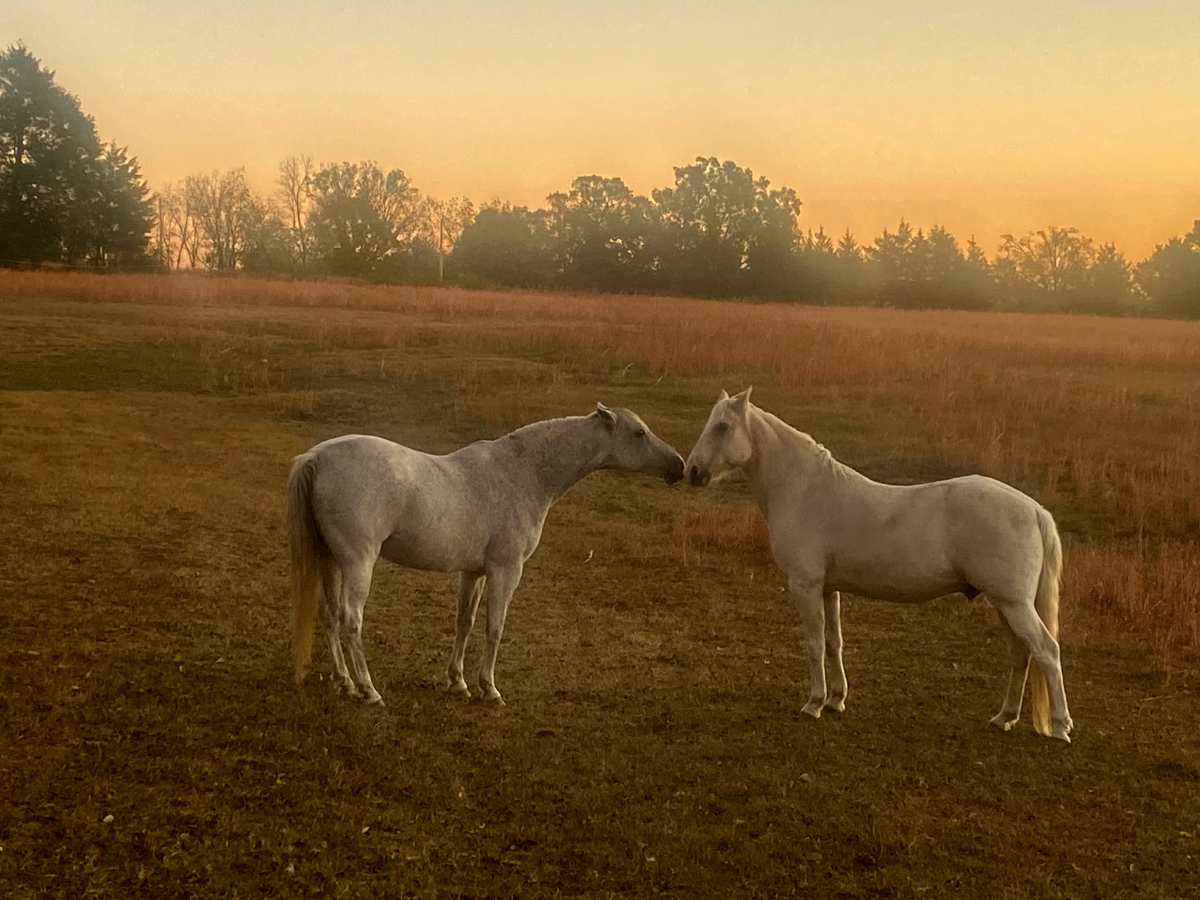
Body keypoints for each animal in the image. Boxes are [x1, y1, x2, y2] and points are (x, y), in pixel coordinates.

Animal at [287, 403, 685, 705]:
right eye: (639, 433)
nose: (679, 466)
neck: (523, 474)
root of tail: (316, 457)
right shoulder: (506, 570)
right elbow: (495, 626)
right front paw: (489, 689)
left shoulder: (474, 572)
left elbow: (464, 622)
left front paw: (458, 682)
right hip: (358, 563)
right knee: (351, 620)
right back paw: (369, 691)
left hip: (331, 561)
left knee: (330, 617)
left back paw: (345, 683)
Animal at [683, 388, 1073, 742]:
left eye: (722, 426)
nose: (693, 471)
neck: (804, 491)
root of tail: (1034, 509)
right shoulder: (828, 589)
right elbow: (833, 642)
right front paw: (836, 699)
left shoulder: (805, 586)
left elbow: (813, 643)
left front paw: (814, 703)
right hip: (1007, 605)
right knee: (1022, 655)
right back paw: (1005, 717)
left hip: (1013, 604)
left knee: (1046, 651)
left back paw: (1059, 727)